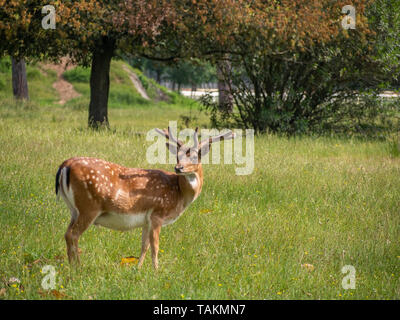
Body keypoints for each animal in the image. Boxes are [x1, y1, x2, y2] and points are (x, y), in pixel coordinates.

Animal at [56, 126, 234, 268]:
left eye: (196, 156)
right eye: (177, 156)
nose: (178, 168)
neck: (179, 194)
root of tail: (66, 165)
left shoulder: (146, 220)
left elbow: (144, 246)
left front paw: (139, 269)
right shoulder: (158, 213)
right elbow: (155, 246)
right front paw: (157, 271)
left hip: (74, 210)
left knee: (67, 233)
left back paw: (72, 266)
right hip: (89, 206)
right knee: (73, 235)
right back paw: (78, 268)